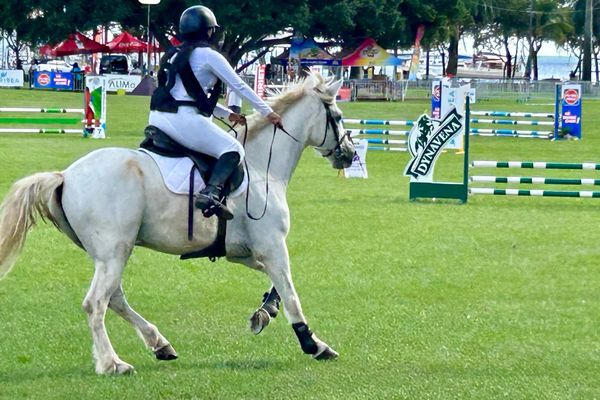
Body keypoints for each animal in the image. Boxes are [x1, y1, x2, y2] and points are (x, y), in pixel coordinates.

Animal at [0, 76, 356, 376]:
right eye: (338, 117)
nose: (350, 155)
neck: (261, 167)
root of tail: (66, 175)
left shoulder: (245, 252)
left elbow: (277, 286)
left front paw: (264, 313)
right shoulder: (272, 246)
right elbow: (291, 292)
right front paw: (313, 344)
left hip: (108, 254)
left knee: (114, 299)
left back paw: (159, 344)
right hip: (115, 251)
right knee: (96, 303)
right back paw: (113, 363)